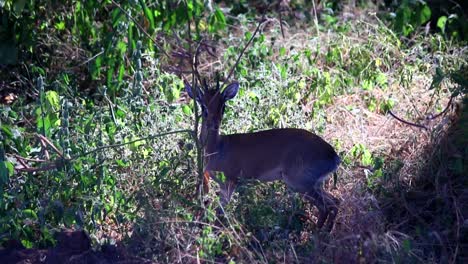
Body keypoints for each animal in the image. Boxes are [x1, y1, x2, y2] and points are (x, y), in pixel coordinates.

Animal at [186, 80, 340, 229]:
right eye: (203, 106)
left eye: (222, 106)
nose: (215, 124)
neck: (217, 148)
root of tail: (333, 155)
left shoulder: (230, 182)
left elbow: (220, 214)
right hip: (315, 185)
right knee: (335, 202)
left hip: (301, 184)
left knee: (325, 207)